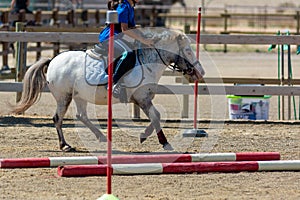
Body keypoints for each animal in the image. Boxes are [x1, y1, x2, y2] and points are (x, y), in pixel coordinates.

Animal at [9, 28, 206, 152]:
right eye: (188, 51)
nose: (200, 72)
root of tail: (53, 60)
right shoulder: (142, 98)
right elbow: (156, 116)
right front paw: (163, 142)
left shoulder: (143, 99)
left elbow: (156, 116)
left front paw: (144, 135)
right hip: (64, 97)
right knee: (58, 118)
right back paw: (65, 145)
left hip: (79, 96)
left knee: (81, 116)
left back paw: (102, 137)